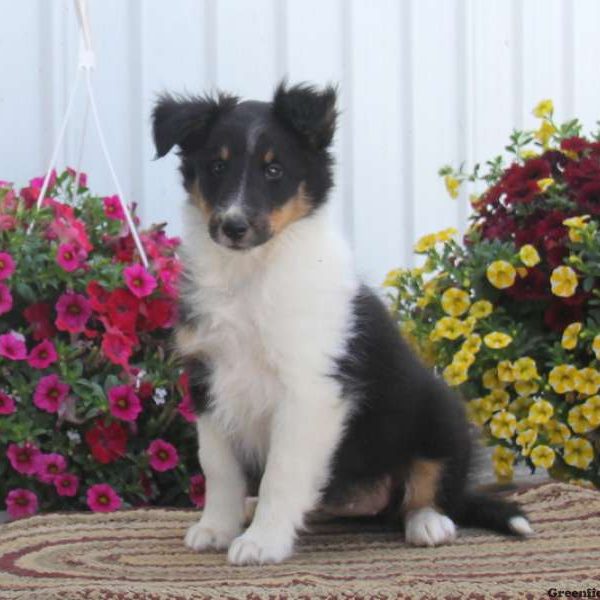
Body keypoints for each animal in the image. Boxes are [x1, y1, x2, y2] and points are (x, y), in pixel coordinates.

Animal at [152, 82, 532, 564]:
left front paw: (262, 542)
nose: (232, 226)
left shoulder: (309, 390)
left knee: (430, 486)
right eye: (216, 166)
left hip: (440, 410)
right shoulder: (207, 379)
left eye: (274, 170)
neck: (253, 272)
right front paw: (216, 528)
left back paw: (428, 522)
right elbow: (217, 466)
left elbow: (282, 472)